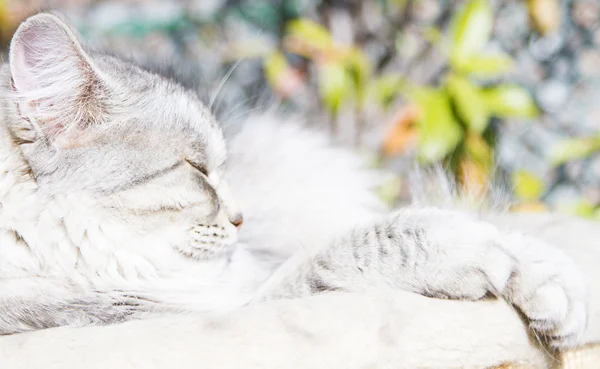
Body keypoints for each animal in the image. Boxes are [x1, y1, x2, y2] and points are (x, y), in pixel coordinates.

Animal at [0, 12, 588, 346]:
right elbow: (359, 247)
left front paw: (553, 280)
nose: (242, 218)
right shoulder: (183, 309)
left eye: (217, 168)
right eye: (197, 170)